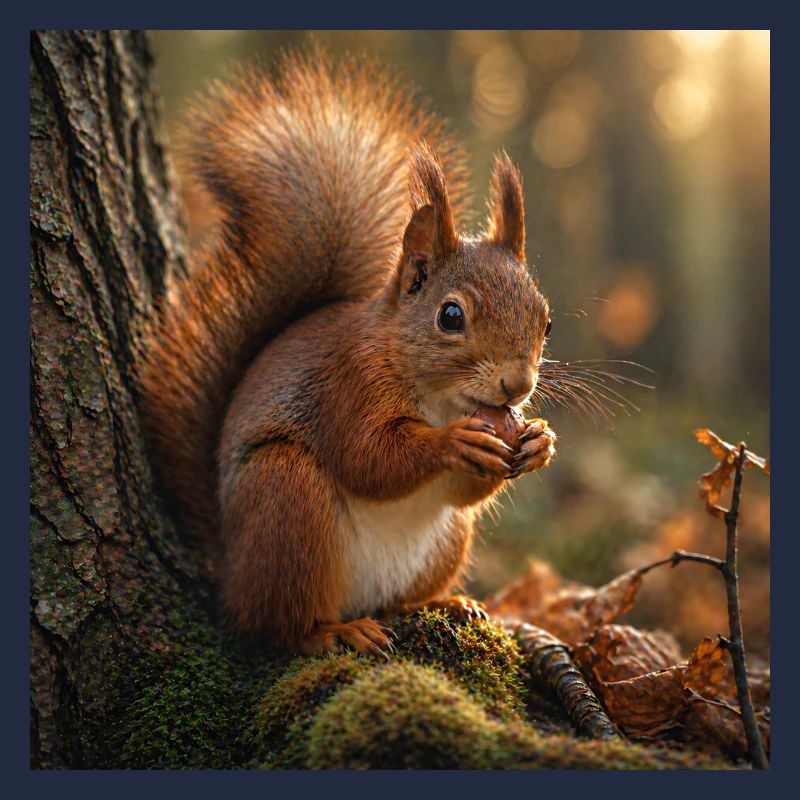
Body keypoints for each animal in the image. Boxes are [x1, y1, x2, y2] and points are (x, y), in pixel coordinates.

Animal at [137, 51, 557, 656]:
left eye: (546, 319)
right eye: (451, 317)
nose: (518, 386)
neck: (442, 399)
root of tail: (230, 569)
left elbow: (463, 493)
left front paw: (540, 442)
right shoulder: (348, 383)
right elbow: (367, 458)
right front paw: (452, 443)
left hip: (443, 543)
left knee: (401, 592)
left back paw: (445, 603)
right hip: (287, 497)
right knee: (276, 624)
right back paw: (335, 632)